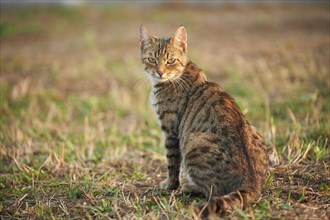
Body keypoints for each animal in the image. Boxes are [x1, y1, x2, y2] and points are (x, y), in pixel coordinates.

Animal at [141, 25, 270, 217]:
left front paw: (169, 185)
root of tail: (251, 181)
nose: (160, 72)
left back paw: (187, 187)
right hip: (253, 130)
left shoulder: (171, 132)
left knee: (211, 191)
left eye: (171, 61)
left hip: (194, 144)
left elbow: (172, 164)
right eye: (151, 59)